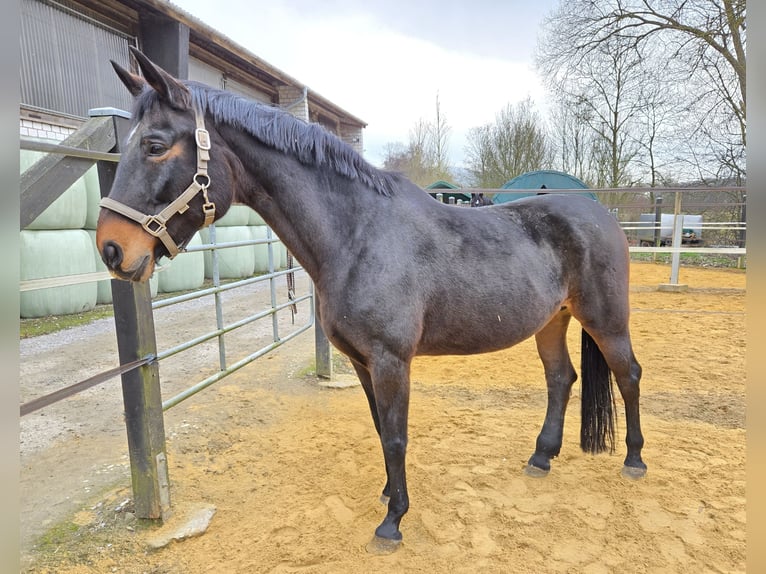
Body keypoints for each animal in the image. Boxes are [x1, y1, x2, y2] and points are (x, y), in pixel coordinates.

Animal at [96, 47, 646, 554]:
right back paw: (541, 457)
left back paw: (634, 460)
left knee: (628, 376)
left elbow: (397, 435)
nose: (112, 249)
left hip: (606, 321)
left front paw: (393, 522)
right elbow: (382, 431)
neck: (358, 235)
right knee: (561, 379)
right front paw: (386, 495)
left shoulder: (390, 360)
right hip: (553, 320)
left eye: (154, 145)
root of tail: (602, 215)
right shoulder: (362, 362)